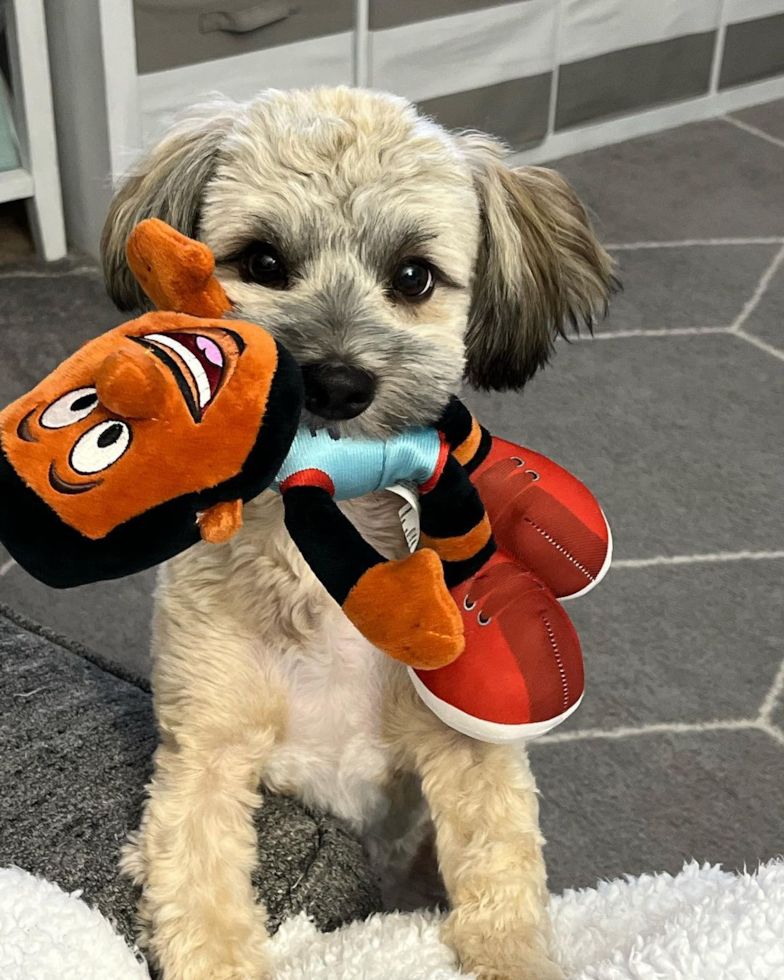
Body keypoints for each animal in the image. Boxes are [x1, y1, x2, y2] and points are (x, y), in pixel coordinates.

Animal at [101, 86, 612, 980]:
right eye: (263, 262)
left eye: (413, 275)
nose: (336, 383)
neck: (319, 547)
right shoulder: (207, 749)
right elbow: (200, 896)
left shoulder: (467, 750)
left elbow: (503, 884)